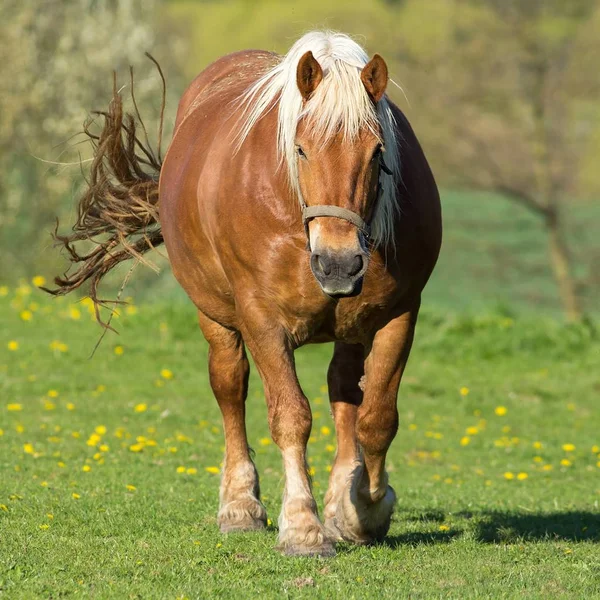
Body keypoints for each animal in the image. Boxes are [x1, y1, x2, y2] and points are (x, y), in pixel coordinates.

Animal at [48, 30, 440, 556]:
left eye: (377, 152)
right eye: (301, 149)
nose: (338, 263)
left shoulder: (399, 315)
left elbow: (376, 418)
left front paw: (363, 509)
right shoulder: (262, 319)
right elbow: (291, 416)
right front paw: (303, 526)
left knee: (344, 390)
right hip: (216, 316)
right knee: (231, 387)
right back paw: (239, 505)